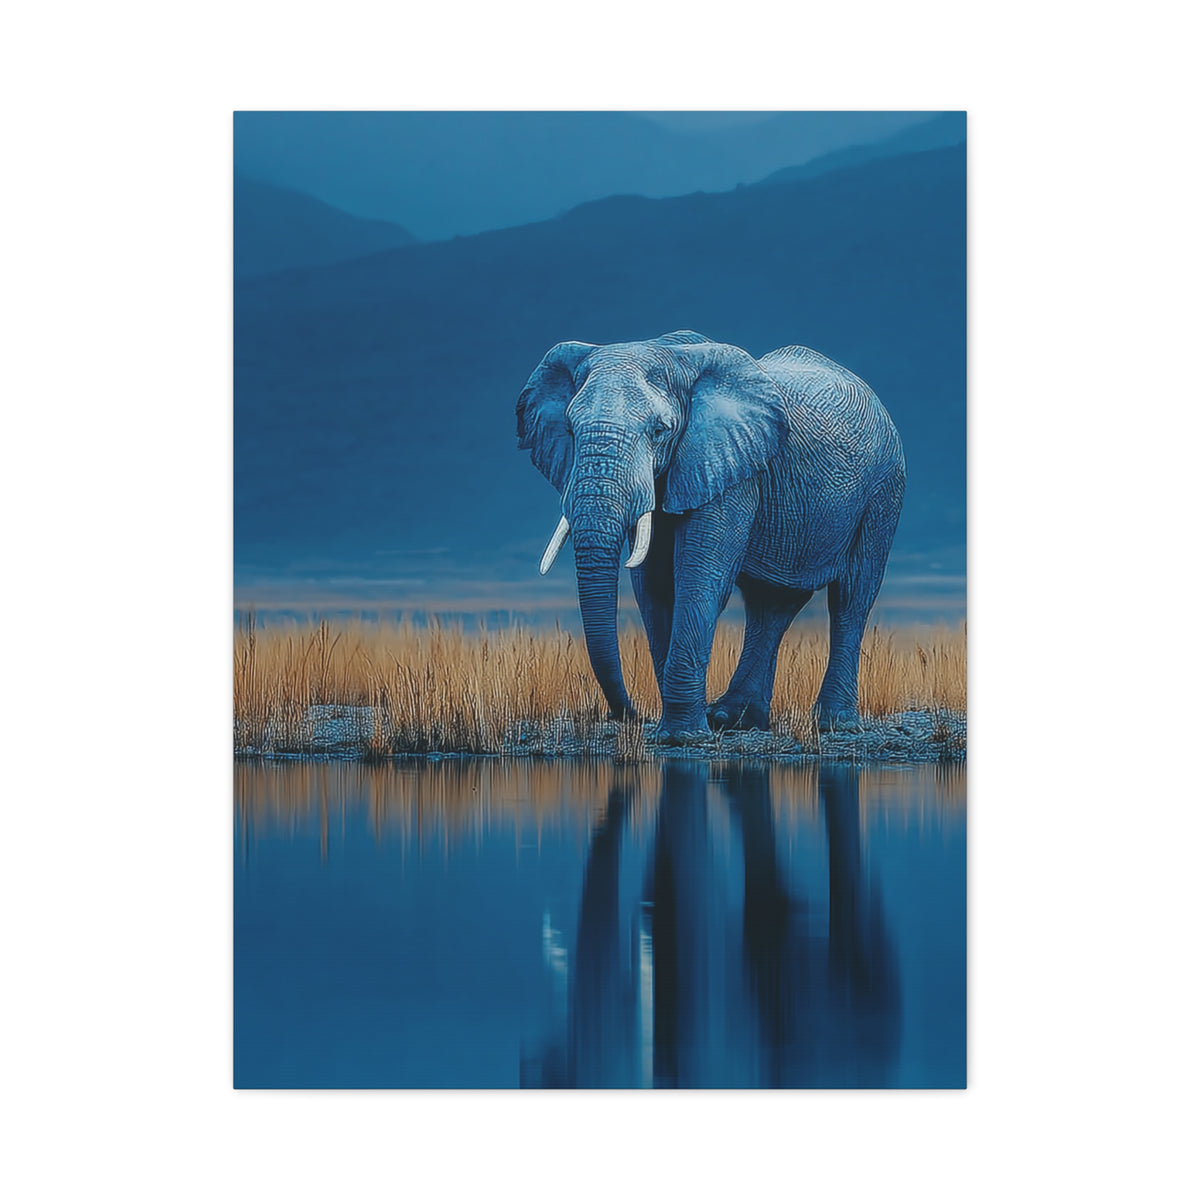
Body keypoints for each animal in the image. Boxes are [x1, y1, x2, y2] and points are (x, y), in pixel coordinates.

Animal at [517, 331, 905, 741]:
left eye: (659, 431)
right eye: (571, 430)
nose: (630, 715)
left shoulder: (730, 467)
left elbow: (699, 580)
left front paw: (680, 737)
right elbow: (654, 588)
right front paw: (682, 727)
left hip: (884, 489)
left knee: (851, 596)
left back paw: (834, 723)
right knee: (770, 604)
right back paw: (733, 719)